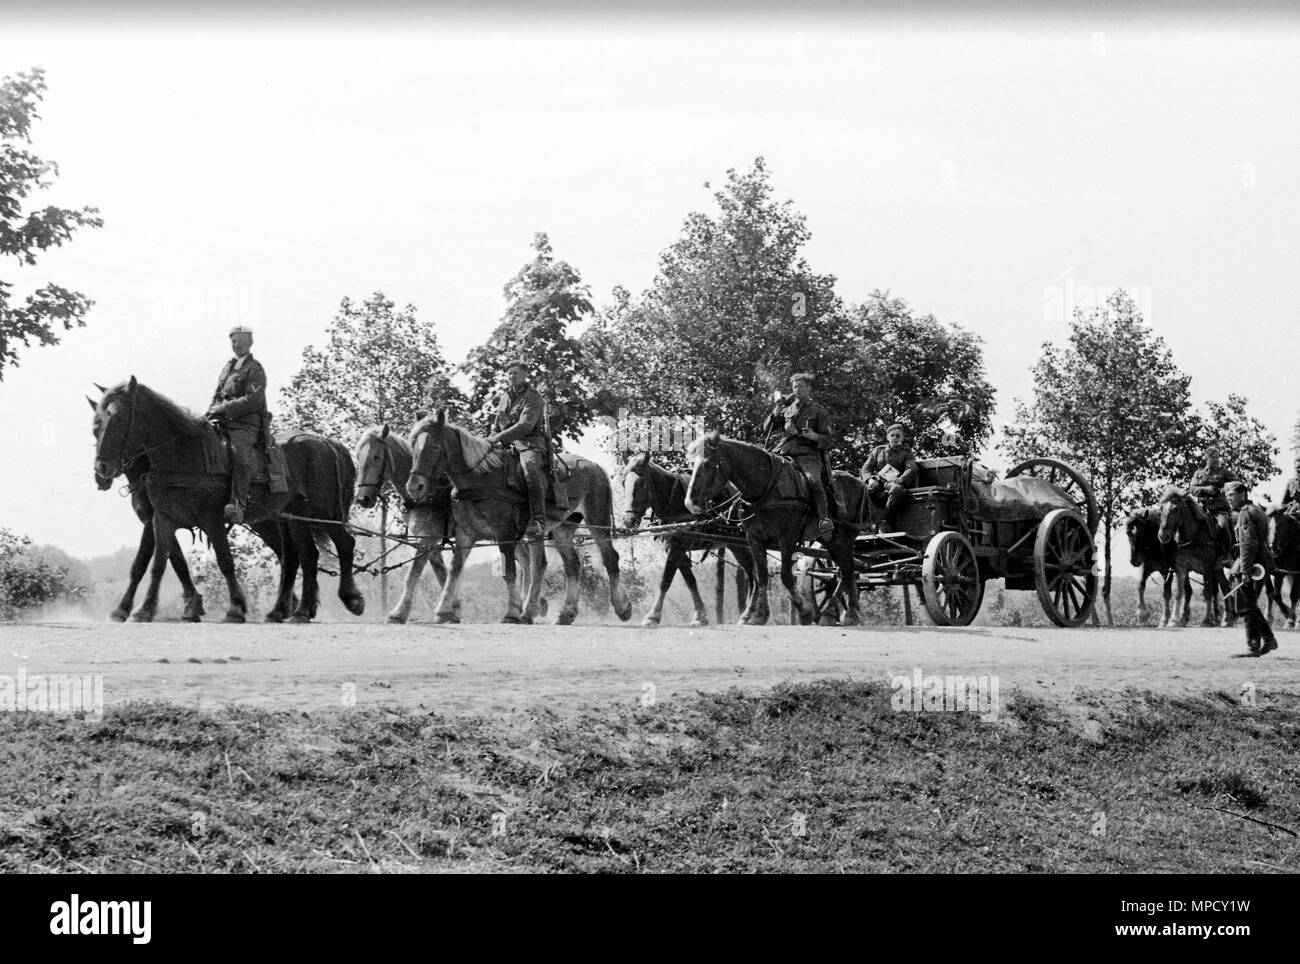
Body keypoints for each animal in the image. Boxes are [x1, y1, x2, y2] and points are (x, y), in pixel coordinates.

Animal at [94, 376, 364, 626]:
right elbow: (158, 563)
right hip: (294, 518)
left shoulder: (210, 518)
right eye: (96, 424)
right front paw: (144, 610)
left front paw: (235, 608)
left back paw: (346, 599)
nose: (101, 469)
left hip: (325, 513)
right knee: (302, 557)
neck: (184, 455)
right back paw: (289, 611)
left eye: (118, 419)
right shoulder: (162, 519)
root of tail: (329, 443)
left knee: (342, 545)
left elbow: (224, 561)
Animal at [403, 413, 631, 626]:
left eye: (434, 446)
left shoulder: (505, 535)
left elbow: (510, 572)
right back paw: (564, 613)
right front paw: (443, 611)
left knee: (610, 558)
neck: (481, 478)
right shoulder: (465, 535)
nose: (414, 487)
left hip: (597, 521)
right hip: (563, 529)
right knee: (571, 565)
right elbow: (455, 569)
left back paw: (622, 607)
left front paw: (512, 612)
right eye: (413, 444)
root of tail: (594, 466)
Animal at [616, 454, 754, 634]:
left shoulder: (677, 545)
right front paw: (700, 617)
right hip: (737, 545)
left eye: (642, 483)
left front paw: (652, 616)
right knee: (752, 573)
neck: (673, 499)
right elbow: (690, 581)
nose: (629, 521)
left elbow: (665, 580)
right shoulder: (676, 547)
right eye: (623, 482)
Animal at [681, 433, 863, 631]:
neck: (767, 487)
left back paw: (850, 614)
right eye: (691, 463)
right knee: (843, 572)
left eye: (707, 464)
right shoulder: (754, 539)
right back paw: (832, 614)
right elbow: (761, 576)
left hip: (844, 538)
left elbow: (785, 576)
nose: (691, 503)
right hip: (831, 541)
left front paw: (804, 612)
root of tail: (859, 482)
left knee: (848, 569)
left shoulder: (787, 538)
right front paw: (759, 615)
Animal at [1159, 485, 1227, 631]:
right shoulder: (1180, 568)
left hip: (1216, 568)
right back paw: (1222, 618)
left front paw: (1207, 620)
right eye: (1161, 509)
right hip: (1216, 570)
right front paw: (1174, 620)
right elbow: (1179, 592)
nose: (1163, 536)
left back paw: (1225, 618)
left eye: (1176, 509)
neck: (1193, 536)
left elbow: (1207, 592)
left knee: (1222, 588)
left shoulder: (1207, 566)